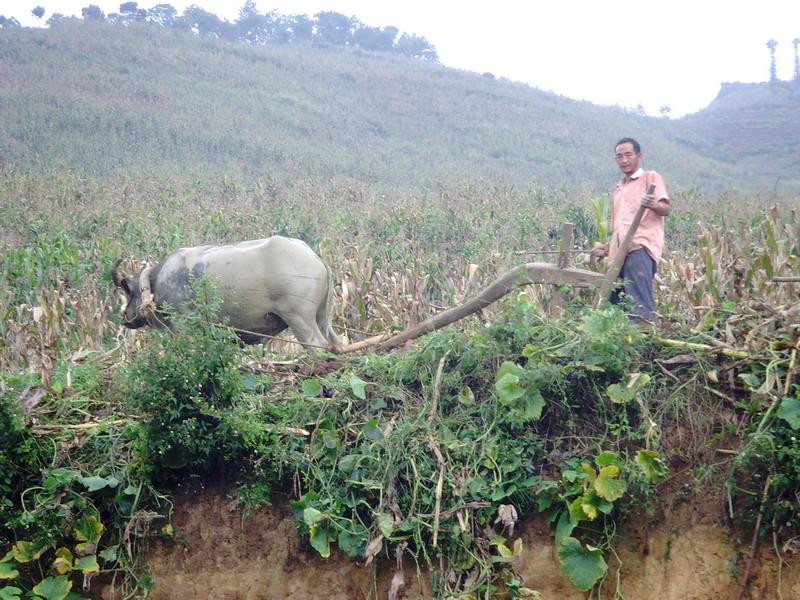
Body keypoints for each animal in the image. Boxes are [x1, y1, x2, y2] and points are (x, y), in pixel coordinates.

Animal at [110, 233, 340, 346]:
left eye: (128, 291)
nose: (125, 316)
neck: (156, 285)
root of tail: (316, 258)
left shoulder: (184, 327)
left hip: (299, 318)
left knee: (318, 345)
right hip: (321, 316)